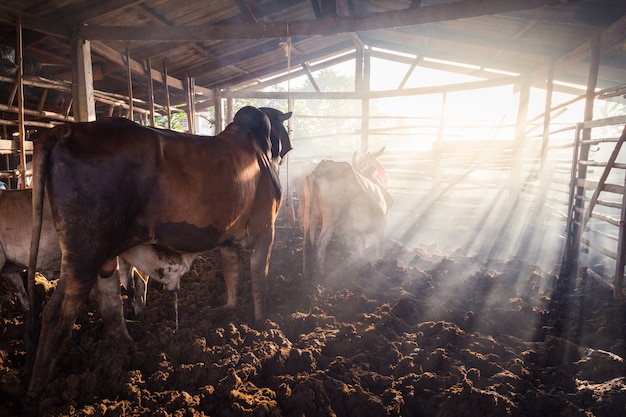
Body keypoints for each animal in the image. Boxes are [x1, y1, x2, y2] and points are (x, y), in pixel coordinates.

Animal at [26, 105, 292, 398]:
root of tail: (69, 129)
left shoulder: (228, 240)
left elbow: (232, 275)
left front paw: (230, 313)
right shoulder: (265, 230)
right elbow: (259, 279)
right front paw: (262, 323)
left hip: (101, 256)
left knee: (108, 301)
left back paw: (129, 346)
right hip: (83, 255)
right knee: (57, 312)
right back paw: (36, 388)